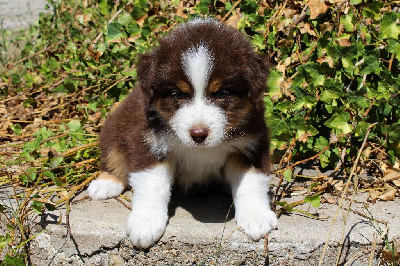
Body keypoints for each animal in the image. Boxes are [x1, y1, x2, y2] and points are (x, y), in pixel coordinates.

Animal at [88, 18, 278, 249]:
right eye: (177, 94)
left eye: (222, 94)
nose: (198, 133)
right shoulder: (149, 143)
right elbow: (152, 184)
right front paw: (145, 224)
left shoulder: (251, 143)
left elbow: (251, 182)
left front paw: (256, 218)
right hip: (114, 129)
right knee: (113, 156)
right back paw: (106, 183)